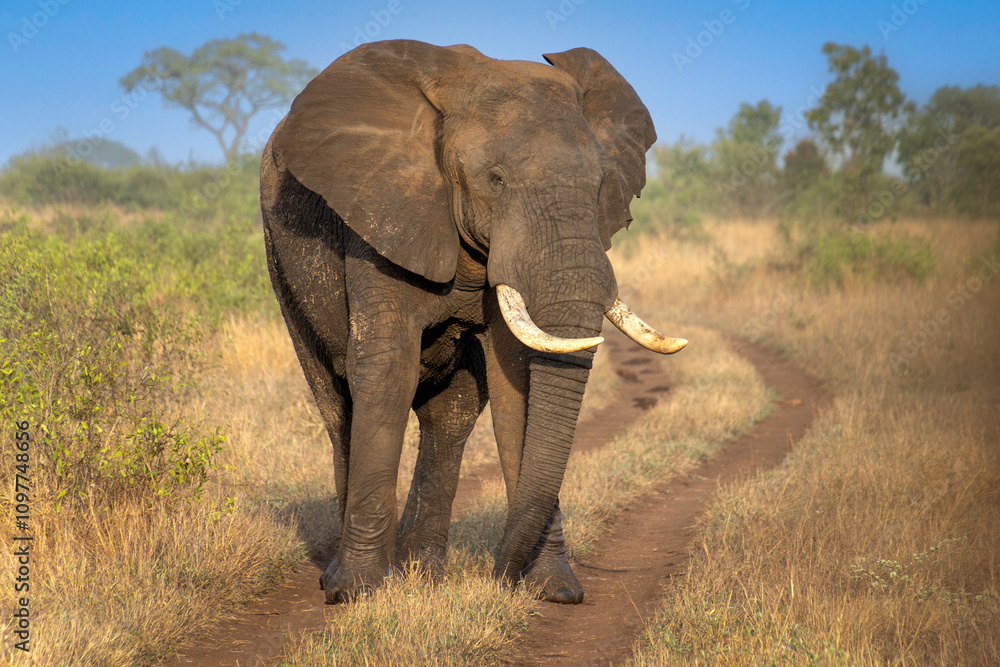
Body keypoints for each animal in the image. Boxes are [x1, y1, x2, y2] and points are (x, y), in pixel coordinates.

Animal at [259, 39, 686, 605]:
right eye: (495, 181)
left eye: (600, 186)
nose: (497, 576)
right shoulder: (380, 218)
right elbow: (385, 369)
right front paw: (356, 593)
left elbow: (515, 380)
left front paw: (555, 589)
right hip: (281, 266)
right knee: (336, 402)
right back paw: (351, 574)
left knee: (453, 414)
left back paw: (421, 572)